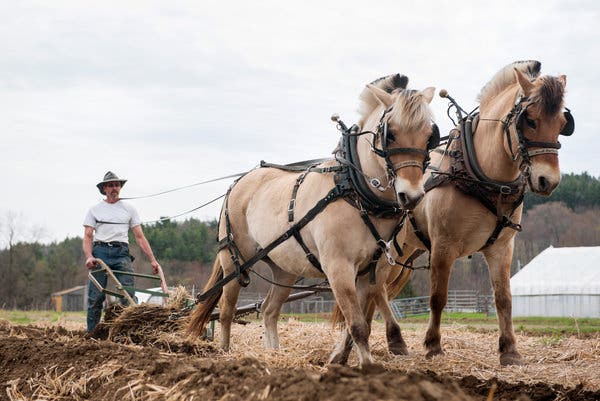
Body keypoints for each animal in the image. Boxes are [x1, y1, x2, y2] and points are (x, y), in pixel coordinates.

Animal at [190, 73, 438, 368]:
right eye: (390, 134)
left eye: (429, 136)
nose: (411, 196)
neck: (355, 191)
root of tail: (239, 182)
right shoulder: (338, 267)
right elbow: (357, 324)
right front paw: (367, 366)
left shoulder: (372, 271)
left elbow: (361, 322)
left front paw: (344, 358)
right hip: (234, 260)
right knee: (227, 309)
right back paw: (226, 352)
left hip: (284, 268)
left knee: (270, 310)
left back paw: (274, 354)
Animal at [330, 60, 576, 366]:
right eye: (529, 120)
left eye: (563, 125)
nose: (548, 181)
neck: (480, 177)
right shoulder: (443, 246)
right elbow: (437, 297)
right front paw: (433, 345)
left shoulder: (502, 247)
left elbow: (503, 298)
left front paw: (509, 350)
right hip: (389, 249)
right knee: (375, 289)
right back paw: (380, 341)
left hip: (403, 249)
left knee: (372, 291)